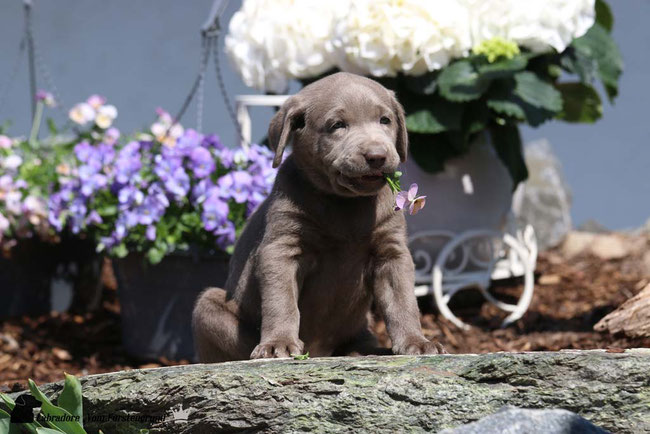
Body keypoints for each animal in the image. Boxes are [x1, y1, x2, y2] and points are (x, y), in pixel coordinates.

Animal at [192, 72, 446, 362]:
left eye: (385, 120)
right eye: (337, 125)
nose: (377, 156)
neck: (345, 203)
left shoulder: (391, 252)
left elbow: (402, 300)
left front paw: (417, 341)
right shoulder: (281, 248)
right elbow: (281, 301)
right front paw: (278, 343)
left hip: (360, 325)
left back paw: (367, 351)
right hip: (209, 307)